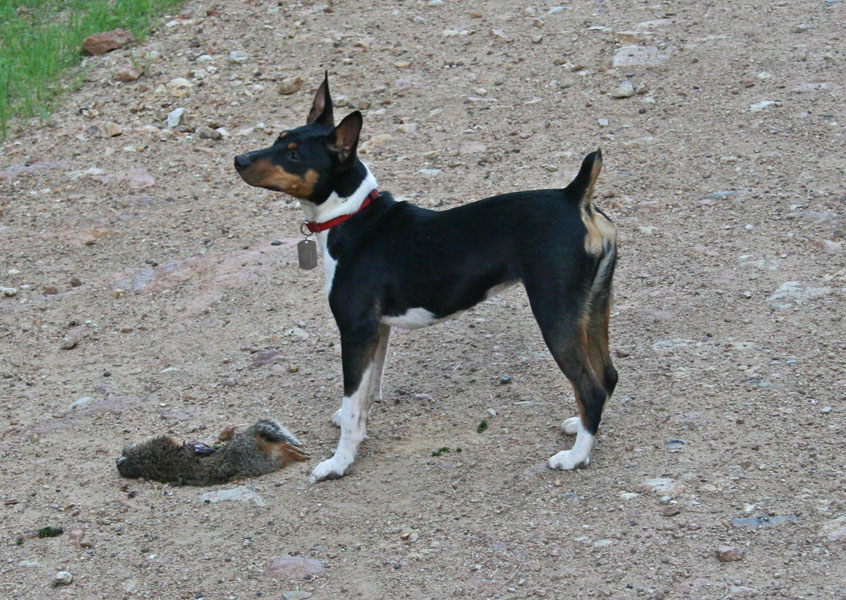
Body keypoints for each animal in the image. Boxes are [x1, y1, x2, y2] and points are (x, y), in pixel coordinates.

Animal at [235, 74, 620, 482]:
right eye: (278, 138)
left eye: (293, 155)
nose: (238, 159)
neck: (354, 217)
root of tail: (574, 196)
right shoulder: (377, 330)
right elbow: (368, 391)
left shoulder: (356, 330)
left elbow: (354, 403)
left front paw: (339, 462)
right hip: (594, 307)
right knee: (607, 376)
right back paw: (579, 425)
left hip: (556, 316)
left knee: (591, 388)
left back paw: (575, 456)